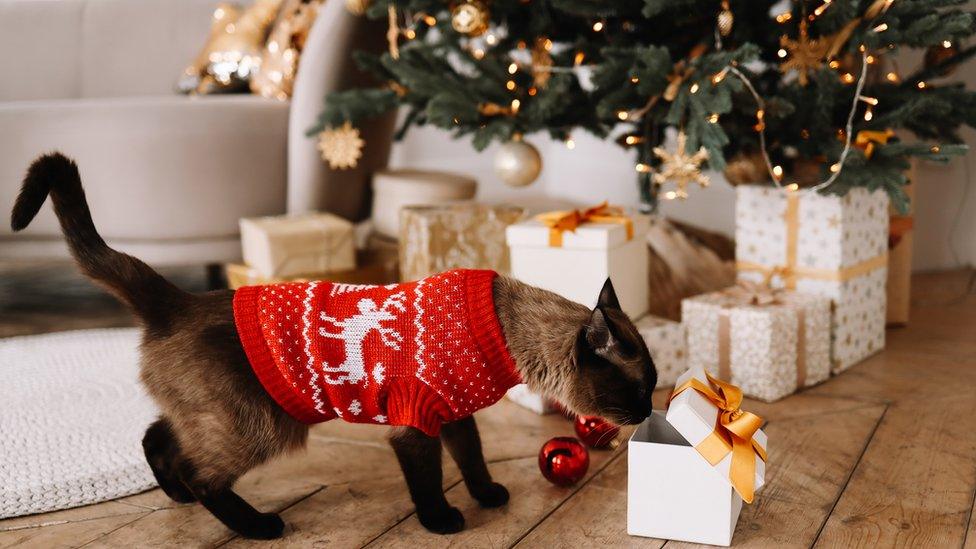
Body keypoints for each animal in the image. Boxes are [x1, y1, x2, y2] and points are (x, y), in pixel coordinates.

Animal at [9, 154, 656, 540]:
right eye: (638, 387)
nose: (650, 411)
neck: (499, 330)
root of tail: (176, 299)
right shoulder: (415, 425)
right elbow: (429, 482)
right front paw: (444, 522)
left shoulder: (452, 413)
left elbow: (471, 460)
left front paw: (487, 497)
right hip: (264, 426)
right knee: (202, 472)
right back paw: (257, 526)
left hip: (218, 418)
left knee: (157, 440)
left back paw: (177, 497)